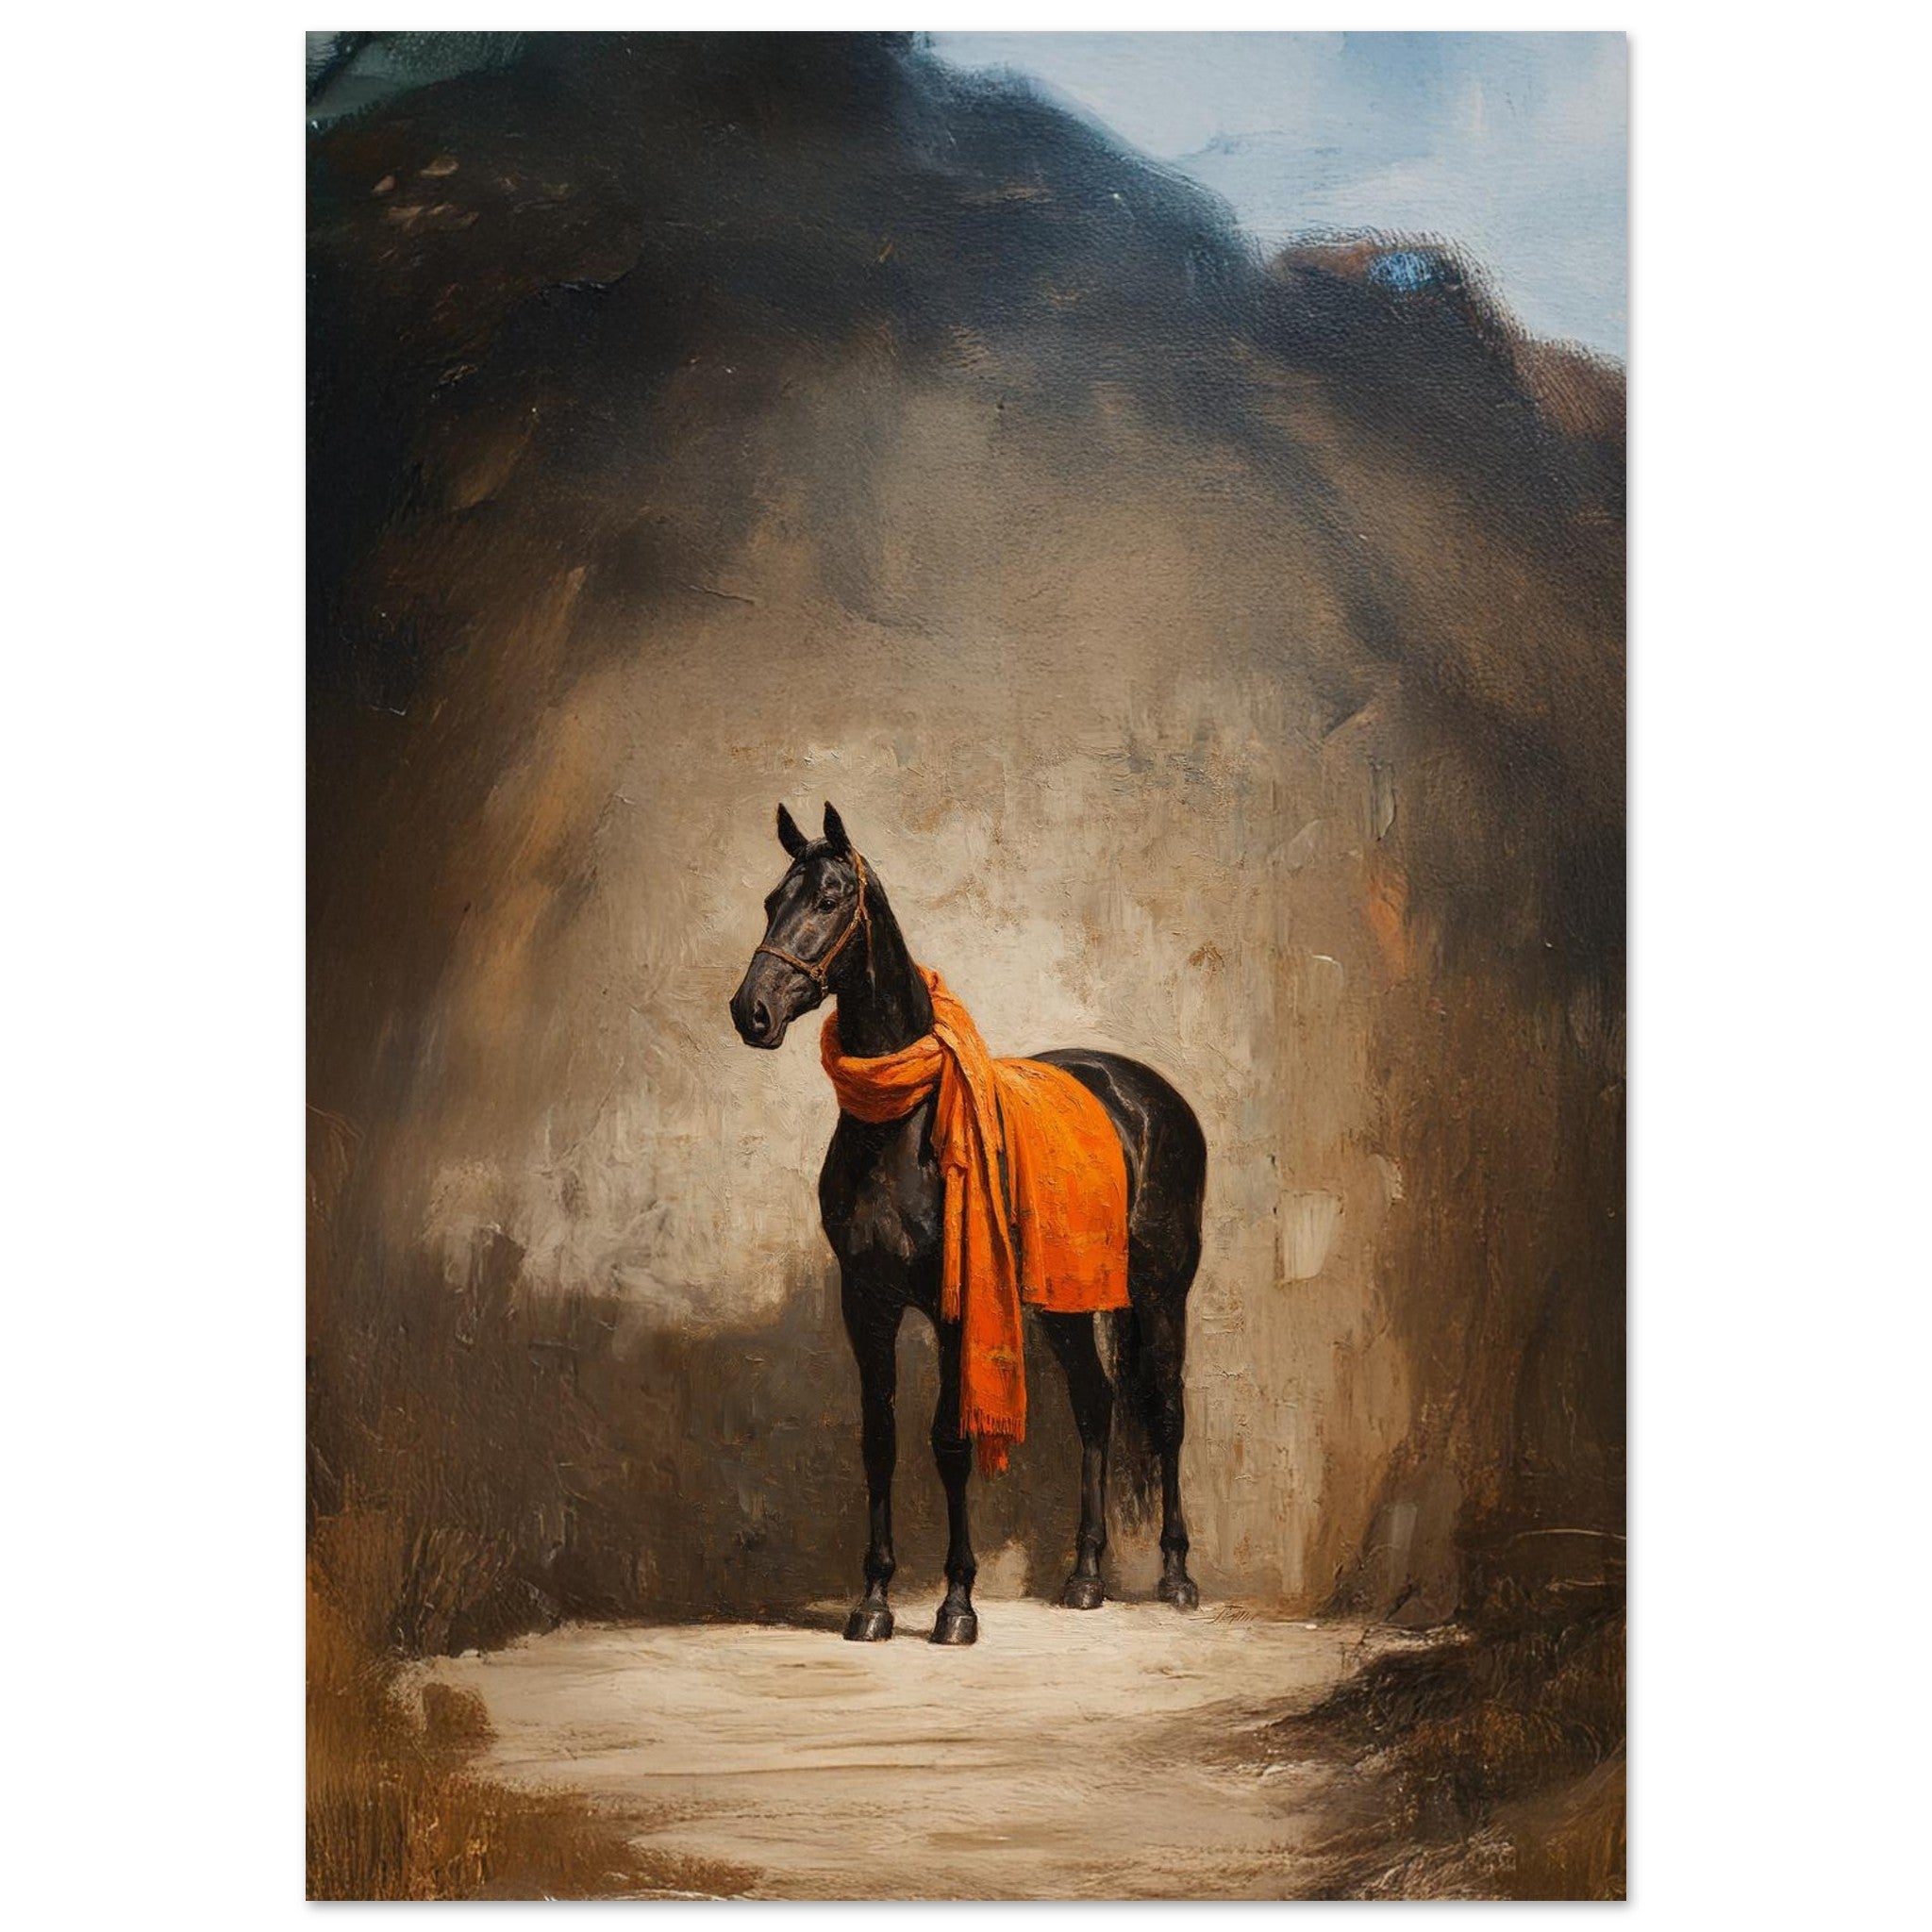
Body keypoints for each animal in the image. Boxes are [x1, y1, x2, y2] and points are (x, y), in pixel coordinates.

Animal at [729, 801, 1207, 1645]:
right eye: (769, 901)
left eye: (828, 898)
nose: (751, 1012)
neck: (900, 1122)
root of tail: (1148, 1095)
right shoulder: (868, 1303)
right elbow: (880, 1443)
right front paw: (874, 1602)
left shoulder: (956, 1309)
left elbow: (950, 1441)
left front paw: (956, 1605)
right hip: (1063, 1304)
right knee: (1096, 1405)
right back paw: (1086, 1577)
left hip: (1159, 1292)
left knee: (1166, 1414)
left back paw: (1177, 1577)